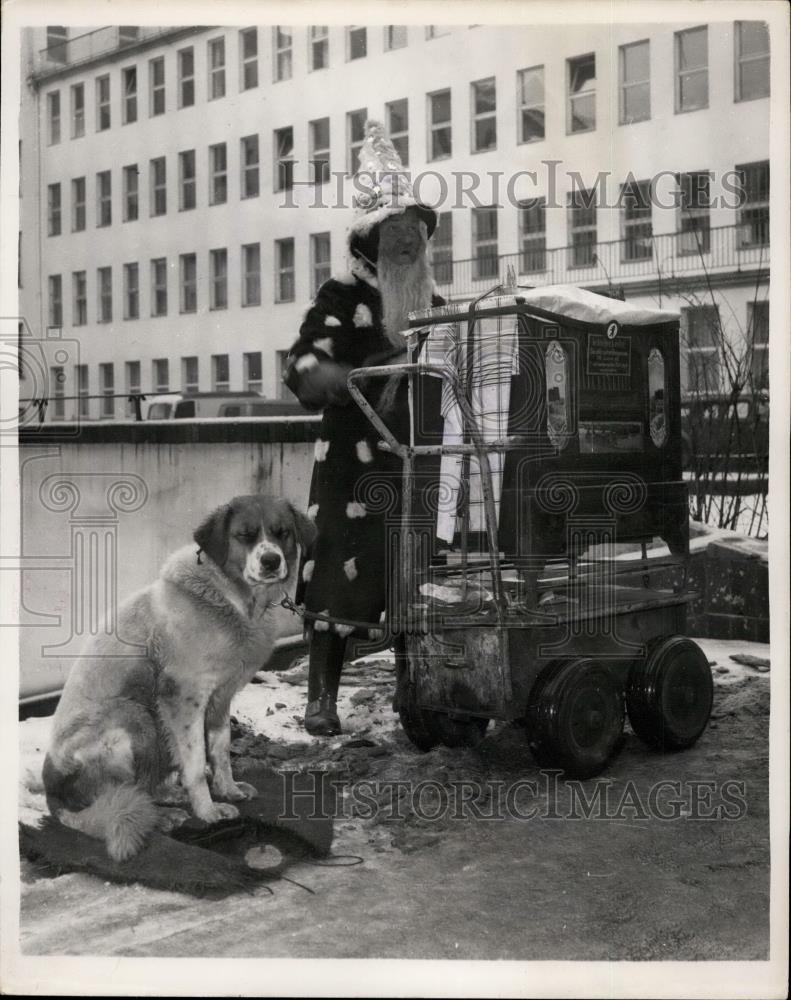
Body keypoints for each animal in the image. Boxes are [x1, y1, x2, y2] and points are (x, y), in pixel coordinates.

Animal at [42, 496, 316, 864]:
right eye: (244, 535)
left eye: (281, 532)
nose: (271, 561)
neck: (230, 596)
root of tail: (52, 794)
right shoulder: (185, 700)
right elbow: (197, 763)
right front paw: (209, 811)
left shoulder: (220, 698)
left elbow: (220, 750)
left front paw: (228, 790)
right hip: (134, 717)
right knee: (122, 798)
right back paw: (162, 816)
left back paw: (168, 798)